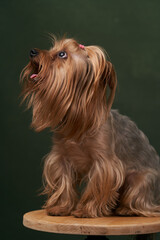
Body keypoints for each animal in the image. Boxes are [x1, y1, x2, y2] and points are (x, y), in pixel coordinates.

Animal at [20, 35, 160, 218]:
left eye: (62, 54)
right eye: (52, 49)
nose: (33, 51)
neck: (79, 121)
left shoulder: (103, 163)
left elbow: (96, 186)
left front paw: (85, 210)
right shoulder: (60, 157)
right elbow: (64, 182)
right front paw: (61, 207)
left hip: (141, 180)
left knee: (141, 200)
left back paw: (127, 209)